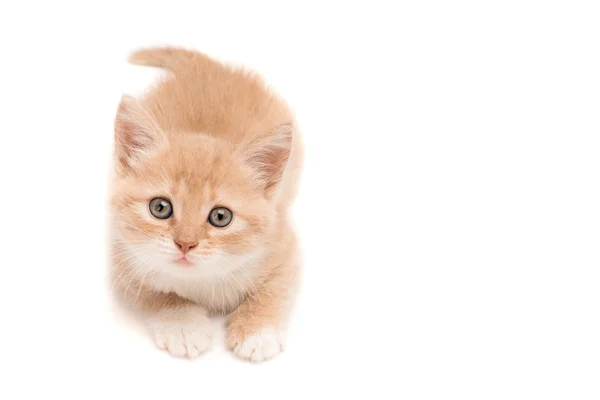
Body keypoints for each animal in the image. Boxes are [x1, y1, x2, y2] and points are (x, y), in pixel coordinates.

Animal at [109, 47, 302, 362]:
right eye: (160, 208)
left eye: (221, 216)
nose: (185, 244)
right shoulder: (122, 255)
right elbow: (155, 293)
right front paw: (182, 325)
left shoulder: (283, 243)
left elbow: (277, 287)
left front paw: (257, 330)